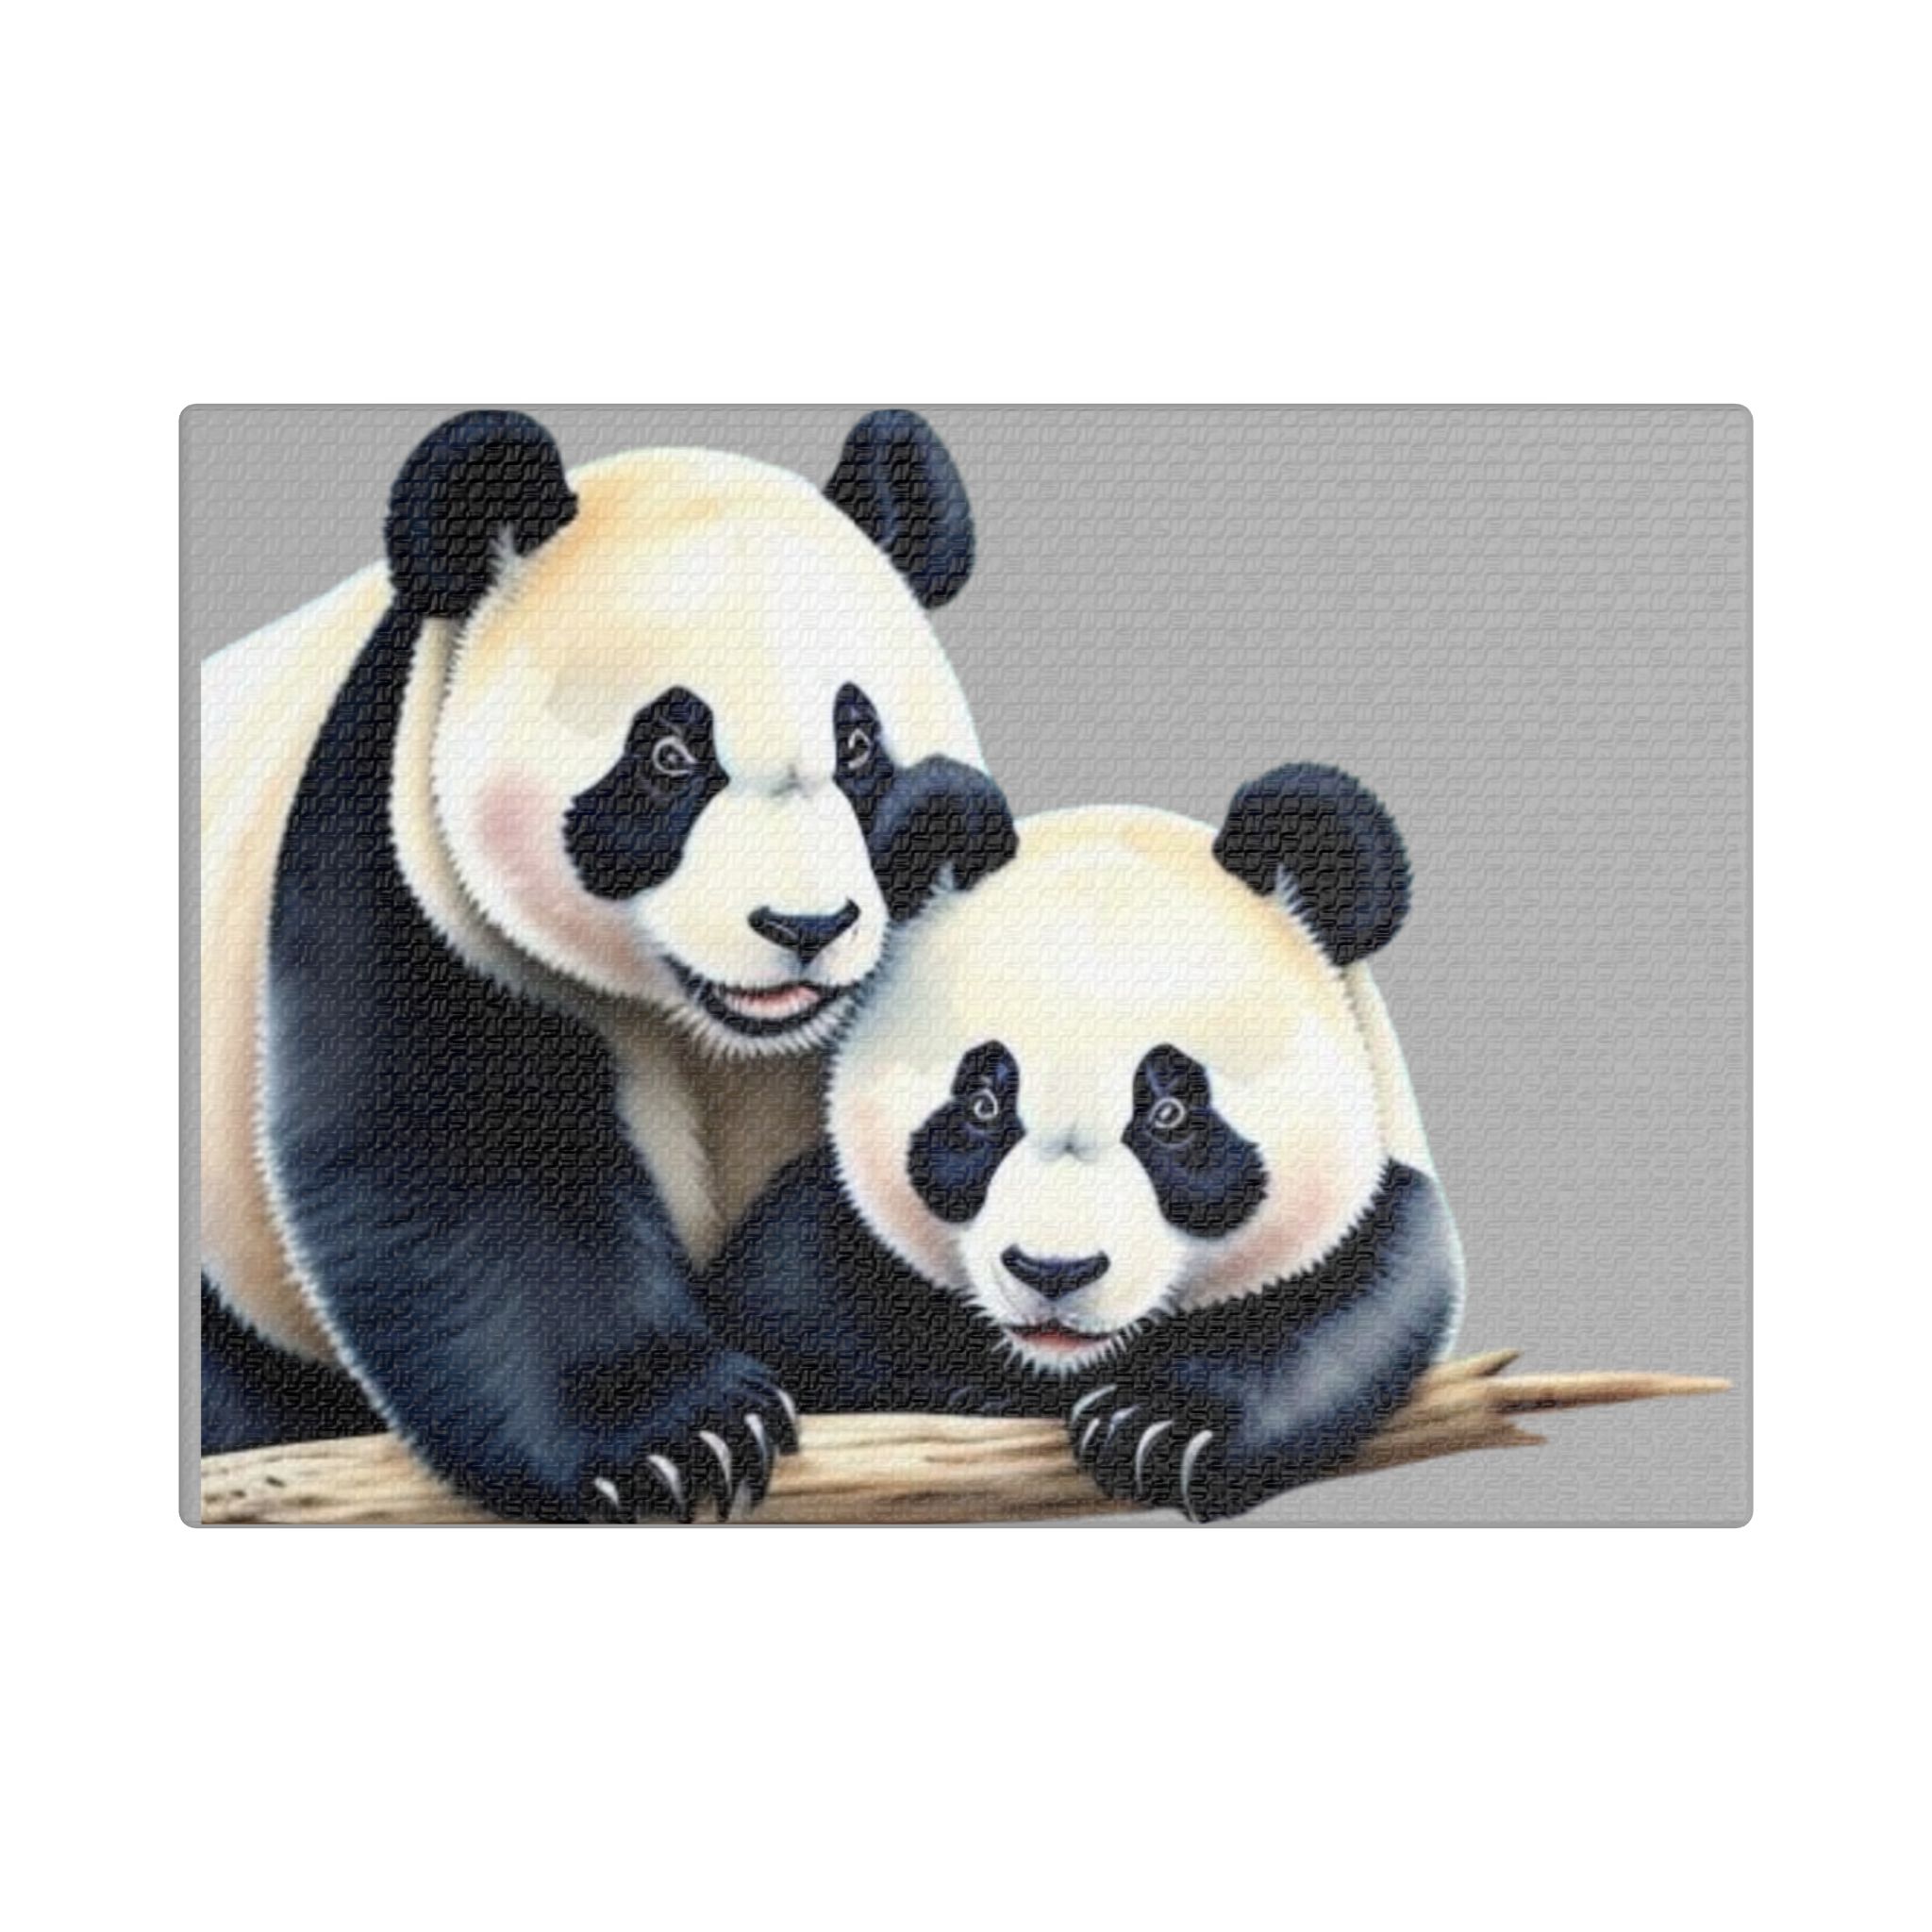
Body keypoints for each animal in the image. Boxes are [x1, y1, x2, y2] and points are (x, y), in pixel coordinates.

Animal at [200, 407, 1016, 1522]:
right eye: (669, 755)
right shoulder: (407, 868)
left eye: (857, 745)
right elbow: (470, 1167)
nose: (805, 924)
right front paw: (682, 1437)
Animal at [703, 766, 1465, 1521]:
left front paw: (1161, 1429)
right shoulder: (818, 1246)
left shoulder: (1376, 1217)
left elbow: (1361, 1308)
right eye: (983, 1106)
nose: (1053, 1272)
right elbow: (796, 1295)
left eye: (1169, 1114)